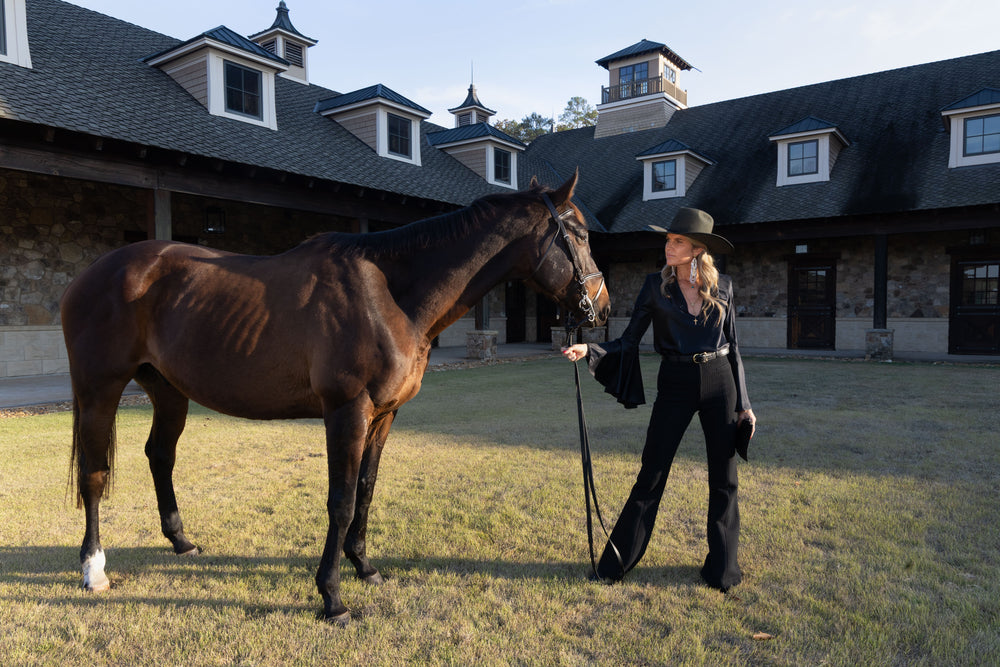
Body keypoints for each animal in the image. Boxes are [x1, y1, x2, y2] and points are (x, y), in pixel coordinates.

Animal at [60, 171, 610, 625]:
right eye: (580, 235)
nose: (602, 307)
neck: (388, 296)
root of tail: (90, 274)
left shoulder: (384, 415)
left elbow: (365, 489)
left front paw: (363, 566)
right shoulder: (347, 411)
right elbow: (340, 501)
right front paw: (332, 597)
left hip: (168, 391)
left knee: (160, 456)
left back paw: (181, 541)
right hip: (99, 389)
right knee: (94, 473)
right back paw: (93, 569)